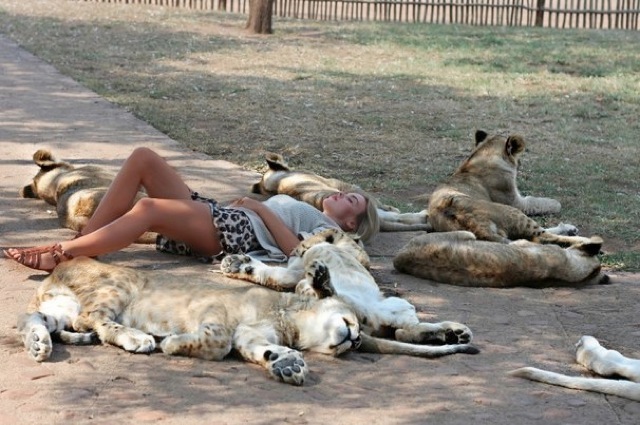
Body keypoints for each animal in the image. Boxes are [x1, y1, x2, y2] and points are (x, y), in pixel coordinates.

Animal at [221, 228, 479, 355]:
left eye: (297, 247)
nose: (294, 252)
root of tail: (372, 324)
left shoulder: (304, 264)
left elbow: (282, 272)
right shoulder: (297, 269)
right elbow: (276, 274)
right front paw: (236, 263)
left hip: (390, 306)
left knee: (402, 329)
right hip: (393, 308)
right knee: (403, 331)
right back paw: (452, 334)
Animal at [251, 153, 431, 232]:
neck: (276, 182)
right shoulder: (343, 185)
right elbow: (384, 206)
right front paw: (393, 208)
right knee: (398, 217)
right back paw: (424, 215)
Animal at [427, 130, 594, 246]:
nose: (521, 164)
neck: (482, 155)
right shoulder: (516, 202)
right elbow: (539, 202)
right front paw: (556, 203)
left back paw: (570, 229)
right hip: (512, 211)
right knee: (541, 237)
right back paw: (587, 240)